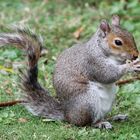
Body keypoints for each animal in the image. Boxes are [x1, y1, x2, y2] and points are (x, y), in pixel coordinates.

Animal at [0, 15, 140, 129]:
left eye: (131, 35)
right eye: (118, 42)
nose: (135, 55)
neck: (100, 49)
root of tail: (67, 115)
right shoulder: (92, 62)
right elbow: (107, 75)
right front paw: (130, 66)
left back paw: (115, 117)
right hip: (87, 101)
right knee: (86, 123)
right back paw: (100, 124)